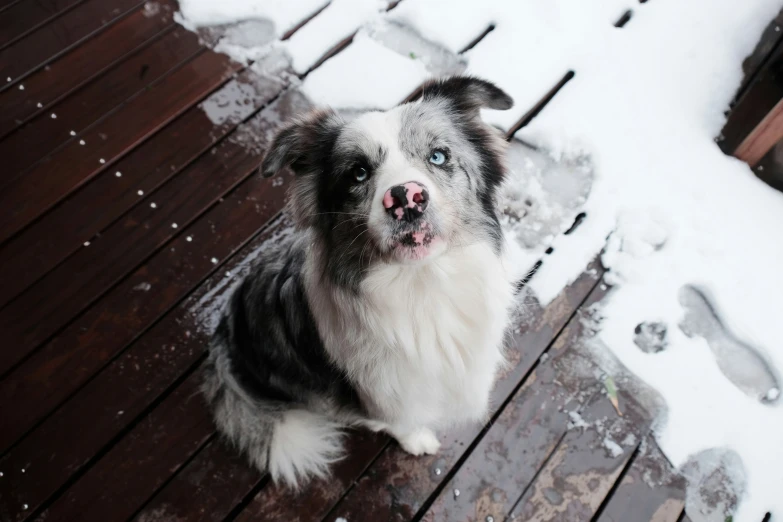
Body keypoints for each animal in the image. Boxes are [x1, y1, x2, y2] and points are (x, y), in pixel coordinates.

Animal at [202, 75, 520, 486]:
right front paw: (418, 440)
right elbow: (399, 420)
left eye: (438, 156)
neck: (422, 286)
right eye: (358, 172)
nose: (406, 197)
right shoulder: (383, 392)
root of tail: (224, 331)